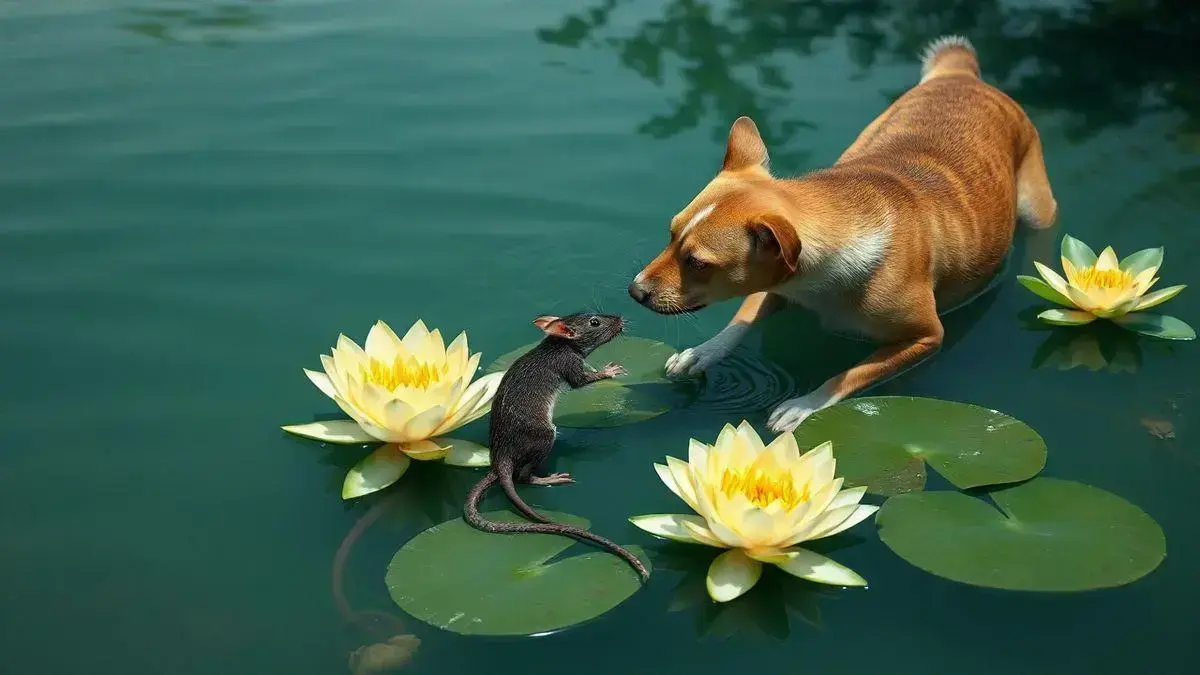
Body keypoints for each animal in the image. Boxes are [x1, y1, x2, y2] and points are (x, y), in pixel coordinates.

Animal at [628, 35, 1060, 429]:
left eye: (698, 263)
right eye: (670, 234)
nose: (634, 292)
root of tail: (961, 74)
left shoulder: (926, 337)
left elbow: (851, 374)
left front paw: (802, 405)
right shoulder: (776, 285)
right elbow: (740, 322)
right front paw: (700, 353)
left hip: (1035, 202)